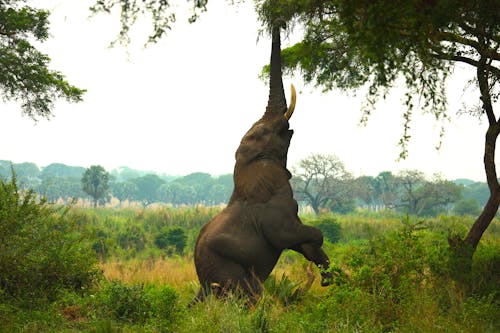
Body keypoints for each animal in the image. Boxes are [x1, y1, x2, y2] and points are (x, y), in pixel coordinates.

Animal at [191, 24, 332, 302]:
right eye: (265, 131)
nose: (278, 22)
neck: (251, 163)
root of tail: (204, 282)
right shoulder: (276, 214)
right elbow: (296, 236)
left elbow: (304, 242)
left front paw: (332, 277)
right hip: (229, 271)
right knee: (250, 296)